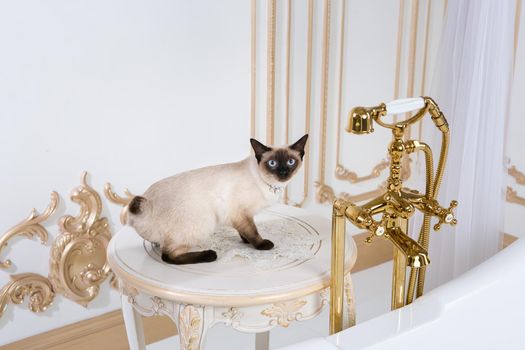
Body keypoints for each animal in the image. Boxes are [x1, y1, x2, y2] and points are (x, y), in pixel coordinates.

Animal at [127, 135, 308, 266]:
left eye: (291, 162)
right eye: (272, 163)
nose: (283, 172)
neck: (271, 185)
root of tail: (145, 205)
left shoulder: (240, 216)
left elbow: (244, 231)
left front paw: (245, 241)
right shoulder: (240, 212)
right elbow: (253, 231)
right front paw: (262, 245)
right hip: (203, 223)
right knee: (168, 256)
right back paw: (209, 255)